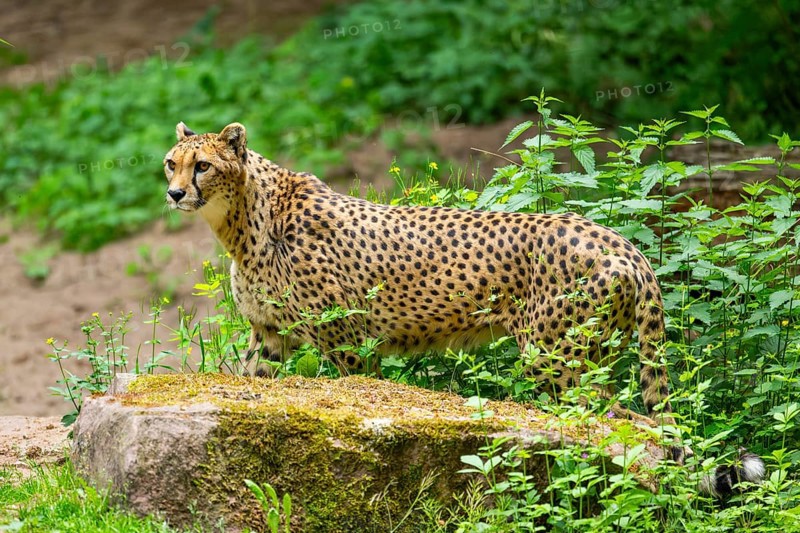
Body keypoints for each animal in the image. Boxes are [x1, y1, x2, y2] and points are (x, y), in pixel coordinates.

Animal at [164, 121, 764, 497]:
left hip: (555, 361)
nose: (174, 193)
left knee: (625, 423)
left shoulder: (350, 344)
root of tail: (623, 243)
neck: (243, 220)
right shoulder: (268, 337)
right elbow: (244, 379)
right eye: (171, 164)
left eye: (204, 166)